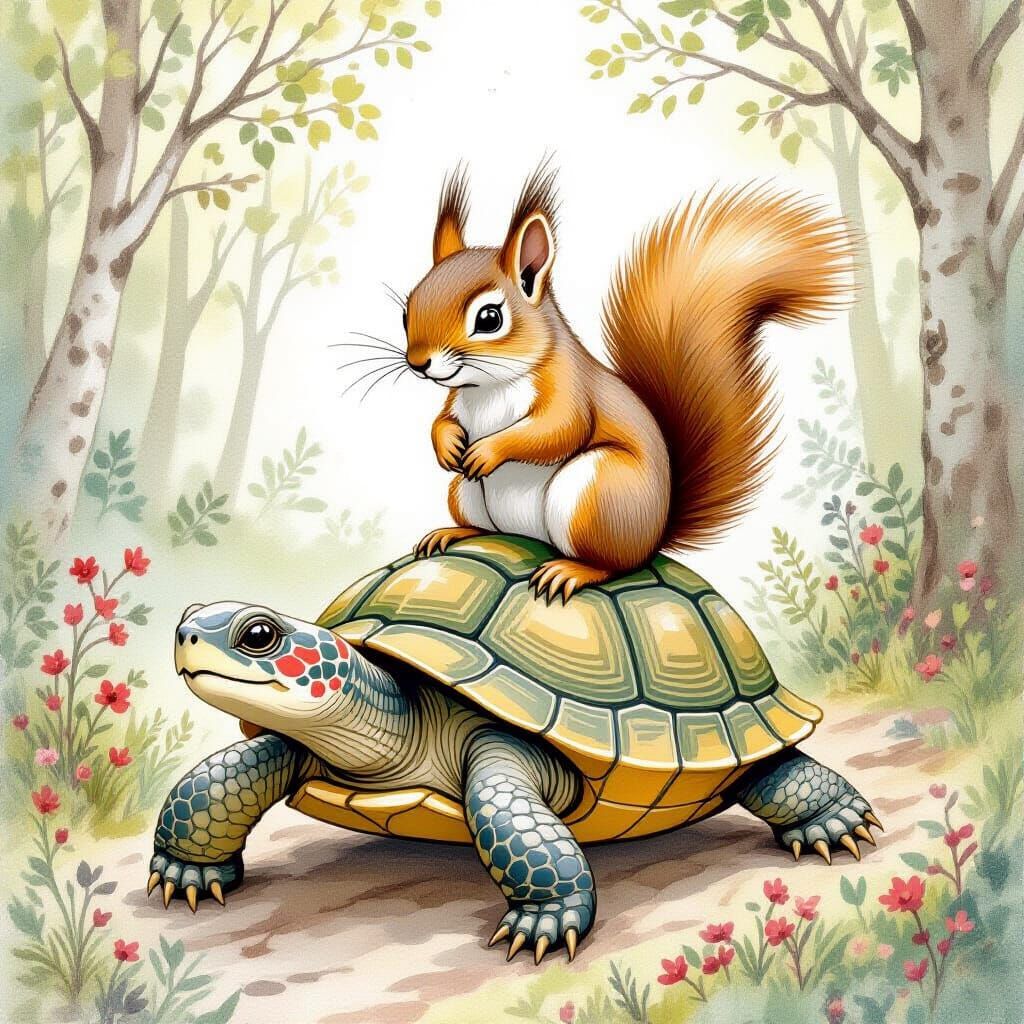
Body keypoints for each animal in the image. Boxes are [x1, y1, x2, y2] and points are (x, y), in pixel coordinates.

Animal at [402, 164, 852, 602]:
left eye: (489, 318)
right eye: (407, 310)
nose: (419, 363)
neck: (489, 387)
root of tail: (654, 538)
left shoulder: (568, 387)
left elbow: (558, 429)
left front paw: (487, 450)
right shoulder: (457, 400)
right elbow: (442, 421)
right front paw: (447, 445)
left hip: (596, 494)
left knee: (614, 564)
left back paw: (571, 571)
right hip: (465, 494)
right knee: (486, 529)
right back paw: (453, 532)